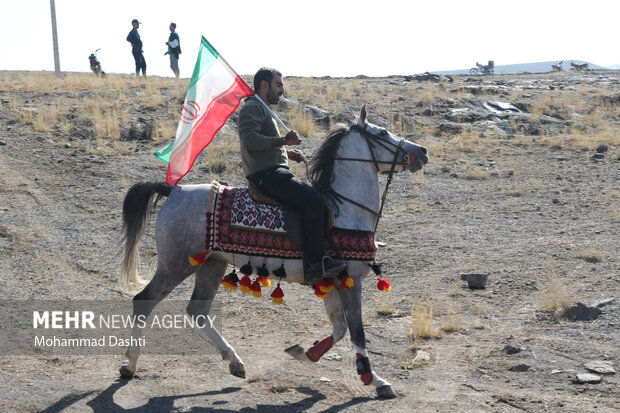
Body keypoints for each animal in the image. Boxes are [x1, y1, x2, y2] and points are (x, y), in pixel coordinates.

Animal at [117, 105, 426, 396]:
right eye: (383, 133)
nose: (421, 151)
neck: (344, 209)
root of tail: (175, 190)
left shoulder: (331, 280)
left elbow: (339, 329)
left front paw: (305, 352)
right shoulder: (349, 280)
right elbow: (357, 333)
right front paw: (375, 381)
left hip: (211, 264)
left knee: (197, 311)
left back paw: (235, 362)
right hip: (176, 265)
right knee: (144, 301)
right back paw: (129, 365)